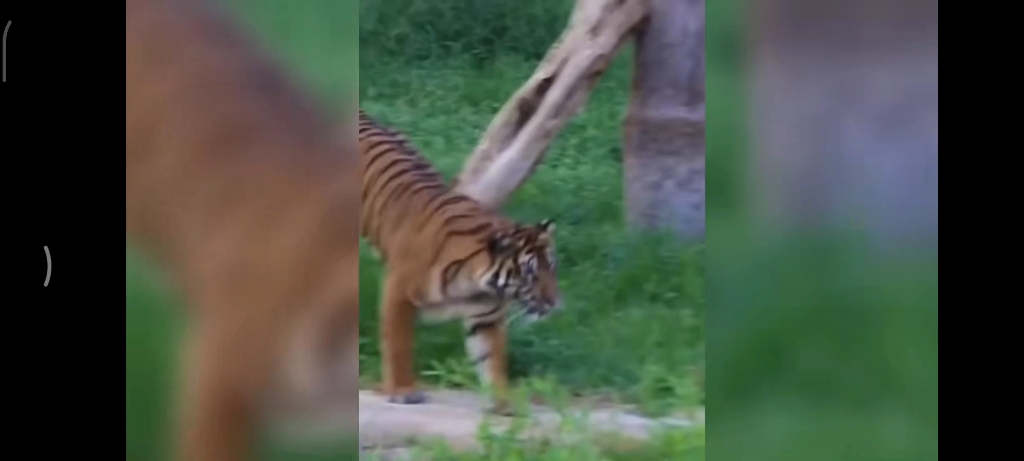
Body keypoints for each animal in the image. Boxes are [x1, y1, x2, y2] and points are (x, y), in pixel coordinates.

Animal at [360, 109, 565, 413]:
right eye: (531, 274)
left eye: (551, 267)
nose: (554, 303)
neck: (475, 283)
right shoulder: (398, 294)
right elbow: (399, 345)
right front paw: (403, 391)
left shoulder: (486, 317)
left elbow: (492, 360)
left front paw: (503, 402)